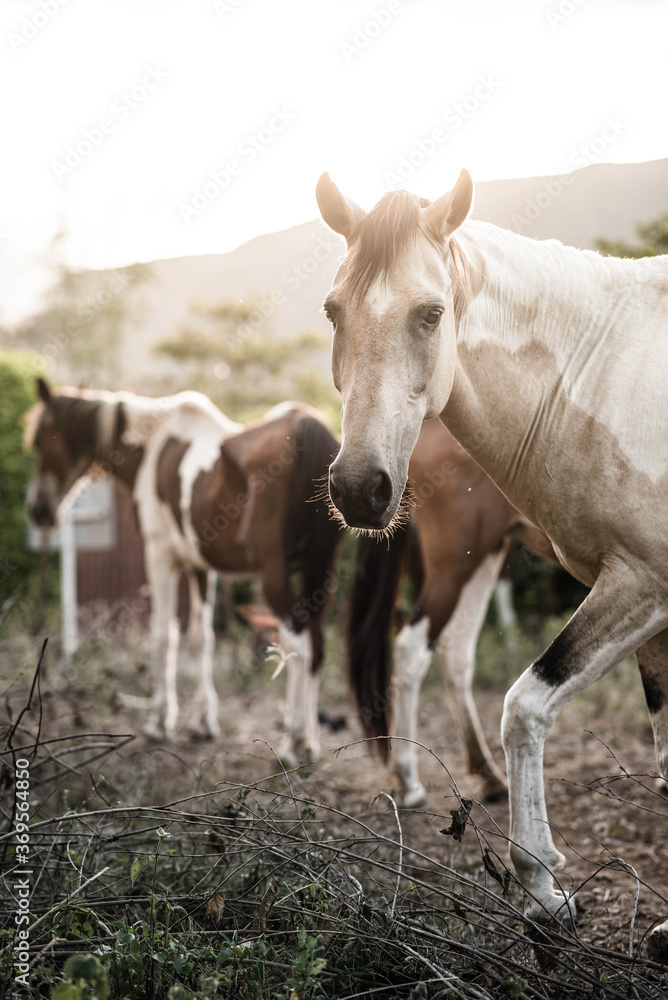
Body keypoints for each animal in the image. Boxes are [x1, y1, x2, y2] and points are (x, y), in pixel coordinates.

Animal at [26, 382, 342, 756]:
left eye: (40, 440)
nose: (38, 511)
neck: (153, 443)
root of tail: (311, 430)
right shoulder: (200, 567)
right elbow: (200, 639)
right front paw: (204, 722)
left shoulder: (159, 556)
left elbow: (164, 637)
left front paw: (160, 722)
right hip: (320, 574)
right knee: (317, 643)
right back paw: (310, 739)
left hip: (274, 577)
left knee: (299, 645)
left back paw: (294, 739)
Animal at [350, 414, 552, 804]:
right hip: (455, 564)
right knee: (412, 651)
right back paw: (409, 777)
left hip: (485, 554)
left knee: (455, 653)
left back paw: (486, 771)